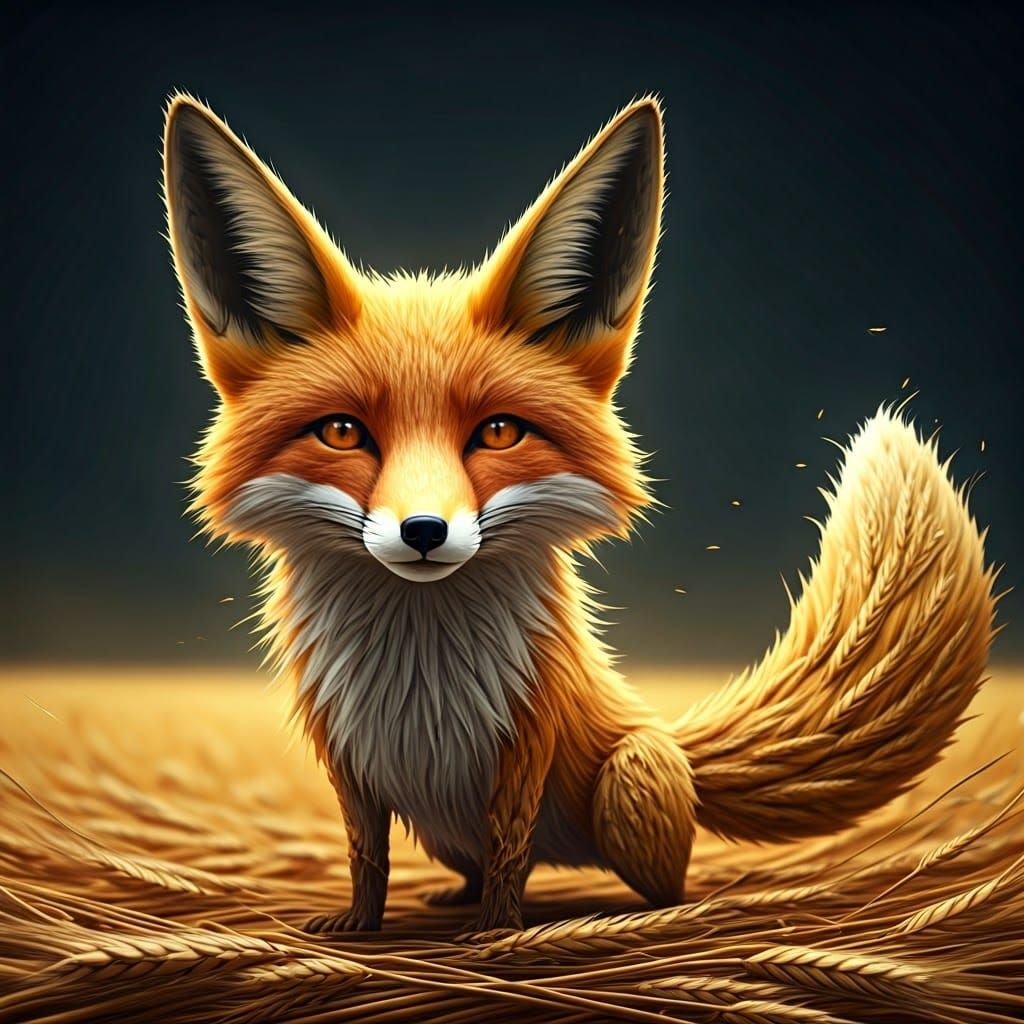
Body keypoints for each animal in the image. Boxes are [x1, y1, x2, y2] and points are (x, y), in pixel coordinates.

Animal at [162, 94, 995, 937]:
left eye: (499, 432)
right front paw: (362, 927)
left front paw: (498, 936)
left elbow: (509, 847)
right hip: (447, 828)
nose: (424, 533)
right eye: (341, 432)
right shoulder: (345, 753)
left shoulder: (528, 734)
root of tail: (669, 738)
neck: (418, 678)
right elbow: (368, 854)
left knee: (643, 877)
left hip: (630, 778)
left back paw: (646, 916)